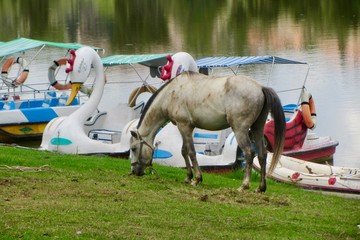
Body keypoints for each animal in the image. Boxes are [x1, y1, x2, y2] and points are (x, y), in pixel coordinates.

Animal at [129, 53, 284, 192]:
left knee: (249, 152)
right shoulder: (185, 128)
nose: (134, 171)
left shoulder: (184, 126)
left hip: (240, 130)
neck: (171, 94)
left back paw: (244, 185)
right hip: (257, 128)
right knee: (262, 154)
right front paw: (188, 177)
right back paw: (260, 187)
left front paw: (197, 179)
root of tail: (260, 88)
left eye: (133, 149)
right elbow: (184, 151)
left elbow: (191, 152)